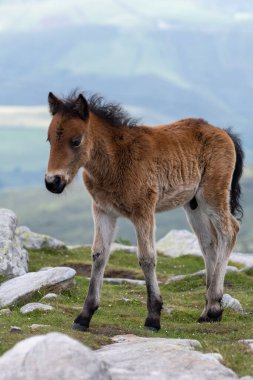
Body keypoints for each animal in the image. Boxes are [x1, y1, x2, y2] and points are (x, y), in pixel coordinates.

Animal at [45, 90, 243, 332]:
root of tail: (223, 132)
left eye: (76, 141)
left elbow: (147, 257)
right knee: (209, 242)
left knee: (229, 231)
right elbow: (99, 254)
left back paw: (214, 307)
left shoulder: (143, 210)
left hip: (212, 195)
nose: (52, 182)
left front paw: (153, 317)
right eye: (49, 139)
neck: (115, 160)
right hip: (193, 204)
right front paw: (84, 316)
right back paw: (208, 311)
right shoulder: (103, 210)